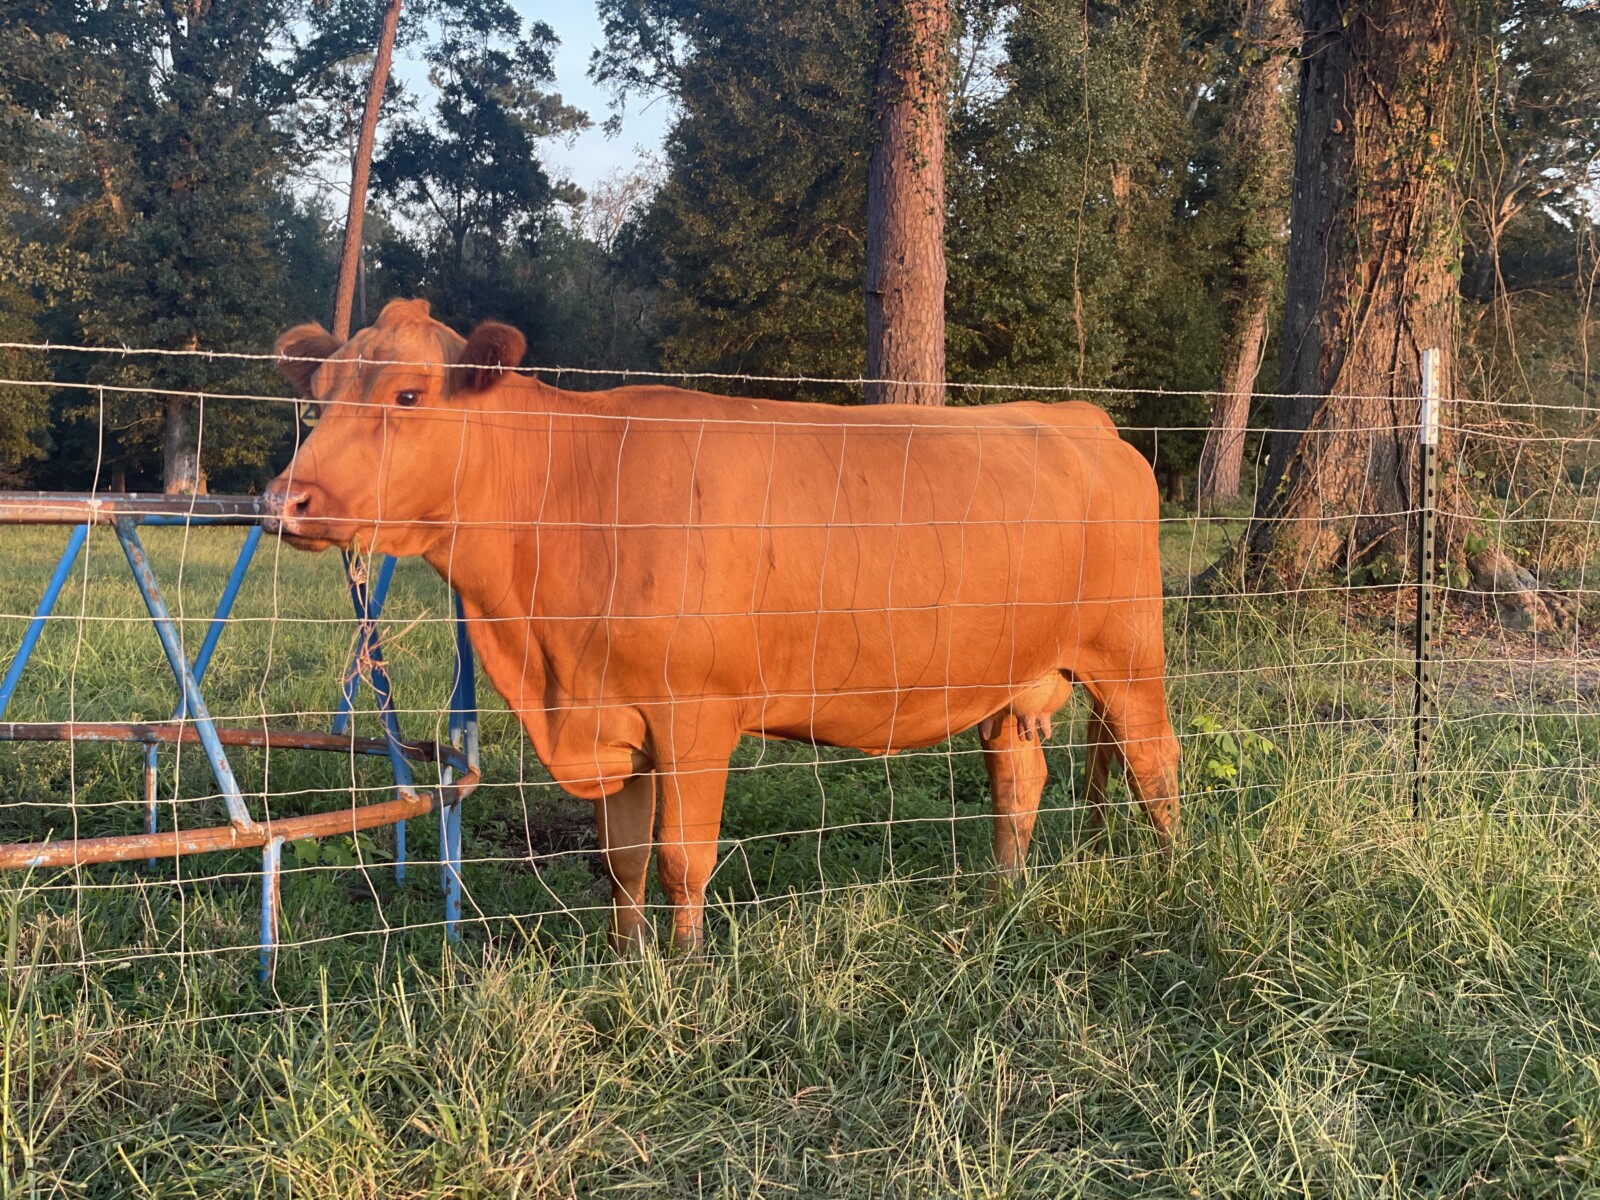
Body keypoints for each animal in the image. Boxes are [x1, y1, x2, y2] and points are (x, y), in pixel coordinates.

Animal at [264, 299, 1180, 950]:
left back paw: (1167, 882)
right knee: (1017, 784)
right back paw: (1001, 897)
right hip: (1015, 677)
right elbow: (622, 860)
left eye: (408, 394)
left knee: (1155, 766)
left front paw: (687, 969)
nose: (285, 500)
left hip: (1129, 652)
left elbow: (681, 856)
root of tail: (1080, 417)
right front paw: (625, 962)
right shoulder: (614, 713)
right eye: (318, 398)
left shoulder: (695, 716)